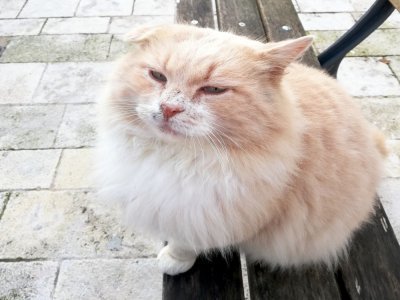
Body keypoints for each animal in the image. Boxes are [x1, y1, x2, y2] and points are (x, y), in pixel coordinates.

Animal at [95, 24, 386, 276]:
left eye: (214, 89)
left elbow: (185, 243)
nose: (169, 108)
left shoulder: (214, 216)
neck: (177, 157)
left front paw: (174, 260)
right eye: (157, 76)